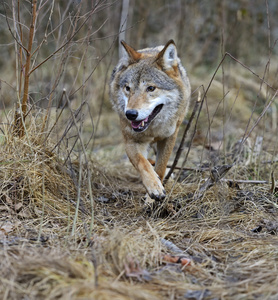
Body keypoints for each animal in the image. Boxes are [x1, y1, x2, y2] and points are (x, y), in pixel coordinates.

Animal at [109, 39, 190, 199]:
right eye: (128, 88)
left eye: (151, 88)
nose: (130, 114)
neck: (153, 129)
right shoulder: (131, 140)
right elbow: (143, 163)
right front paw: (153, 187)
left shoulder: (170, 137)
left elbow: (161, 167)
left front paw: (151, 199)